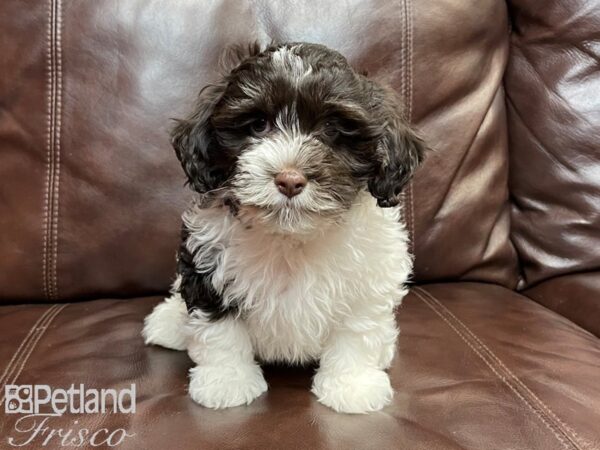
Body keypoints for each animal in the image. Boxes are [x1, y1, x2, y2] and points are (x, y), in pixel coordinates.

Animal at [142, 43, 424, 414]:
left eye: (333, 129)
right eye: (258, 125)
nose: (289, 180)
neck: (292, 238)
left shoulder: (369, 279)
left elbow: (356, 331)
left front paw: (353, 385)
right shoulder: (207, 267)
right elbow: (220, 330)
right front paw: (226, 381)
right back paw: (168, 323)